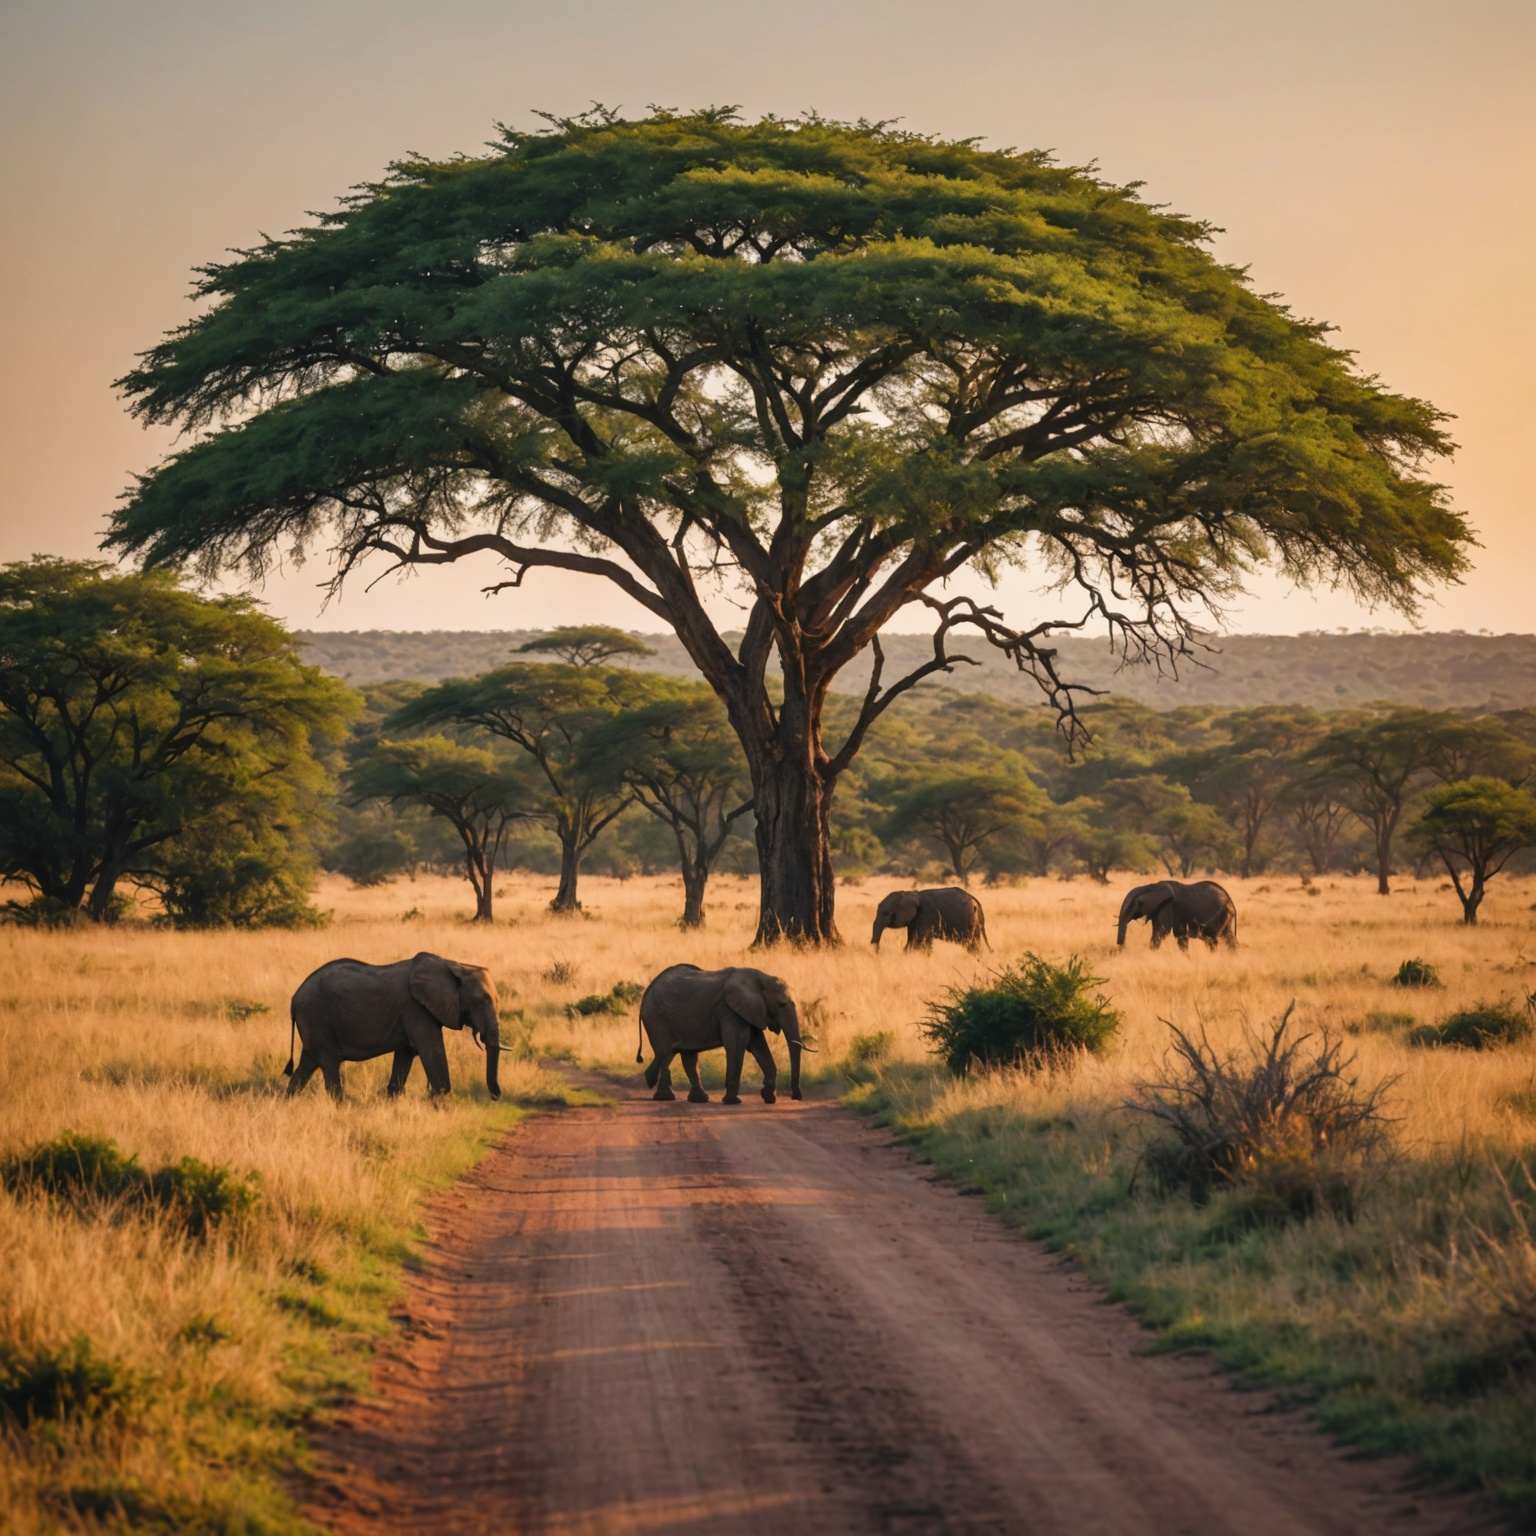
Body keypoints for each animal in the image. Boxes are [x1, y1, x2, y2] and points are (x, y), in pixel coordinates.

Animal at [285, 952, 506, 1099]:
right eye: (481, 1001)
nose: (496, 1096)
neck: (455, 965)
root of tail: (294, 997)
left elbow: (406, 1053)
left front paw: (392, 1099)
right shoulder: (415, 1009)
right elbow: (430, 1049)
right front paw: (442, 1105)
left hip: (313, 1023)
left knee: (308, 1064)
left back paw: (289, 1103)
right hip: (317, 1017)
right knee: (329, 1063)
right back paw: (340, 1106)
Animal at [632, 958, 811, 1105]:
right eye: (781, 1004)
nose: (796, 1097)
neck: (761, 977)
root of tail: (646, 994)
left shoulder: (748, 1011)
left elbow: (758, 1046)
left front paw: (769, 1098)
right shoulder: (729, 1009)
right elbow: (738, 1044)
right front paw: (733, 1102)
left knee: (685, 1056)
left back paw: (695, 1098)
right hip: (657, 1018)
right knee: (666, 1053)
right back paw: (665, 1097)